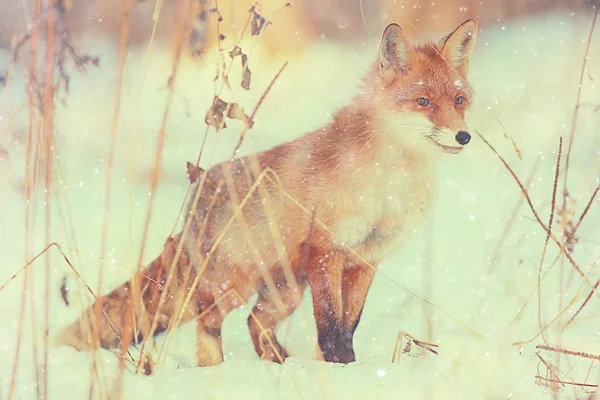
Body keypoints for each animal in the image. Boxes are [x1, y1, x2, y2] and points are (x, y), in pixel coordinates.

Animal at [55, 20, 478, 368]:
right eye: (423, 102)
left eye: (459, 101)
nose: (463, 136)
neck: (390, 184)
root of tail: (195, 199)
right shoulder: (327, 251)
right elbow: (330, 328)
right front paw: (339, 369)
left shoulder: (366, 259)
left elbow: (349, 324)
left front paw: (347, 367)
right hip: (231, 286)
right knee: (208, 324)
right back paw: (220, 371)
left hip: (284, 292)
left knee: (254, 322)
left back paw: (277, 362)